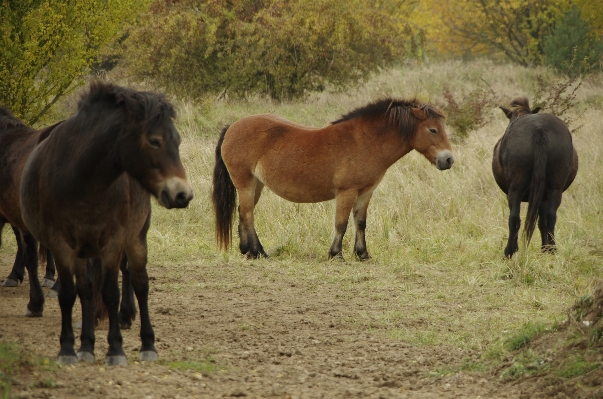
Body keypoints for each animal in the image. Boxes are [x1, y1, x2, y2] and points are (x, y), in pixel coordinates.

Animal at [19, 83, 193, 368]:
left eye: (177, 141)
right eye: (154, 140)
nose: (182, 194)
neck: (83, 179)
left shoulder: (113, 243)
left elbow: (111, 293)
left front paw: (115, 350)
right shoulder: (62, 244)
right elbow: (70, 294)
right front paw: (69, 349)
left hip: (136, 240)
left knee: (141, 284)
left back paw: (148, 345)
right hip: (83, 252)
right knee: (87, 290)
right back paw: (87, 345)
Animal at [212, 99, 452, 260]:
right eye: (432, 130)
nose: (448, 160)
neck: (365, 141)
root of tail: (232, 126)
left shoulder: (366, 192)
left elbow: (360, 223)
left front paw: (363, 254)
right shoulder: (347, 192)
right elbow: (341, 223)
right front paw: (336, 254)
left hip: (256, 185)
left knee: (243, 213)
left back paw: (247, 250)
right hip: (245, 182)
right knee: (248, 214)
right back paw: (258, 251)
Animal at [494, 98, 580, 258]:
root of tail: (539, 128)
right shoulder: (544, 196)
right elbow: (543, 221)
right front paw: (545, 248)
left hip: (516, 188)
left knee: (514, 217)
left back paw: (509, 251)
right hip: (555, 187)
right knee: (551, 217)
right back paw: (552, 249)